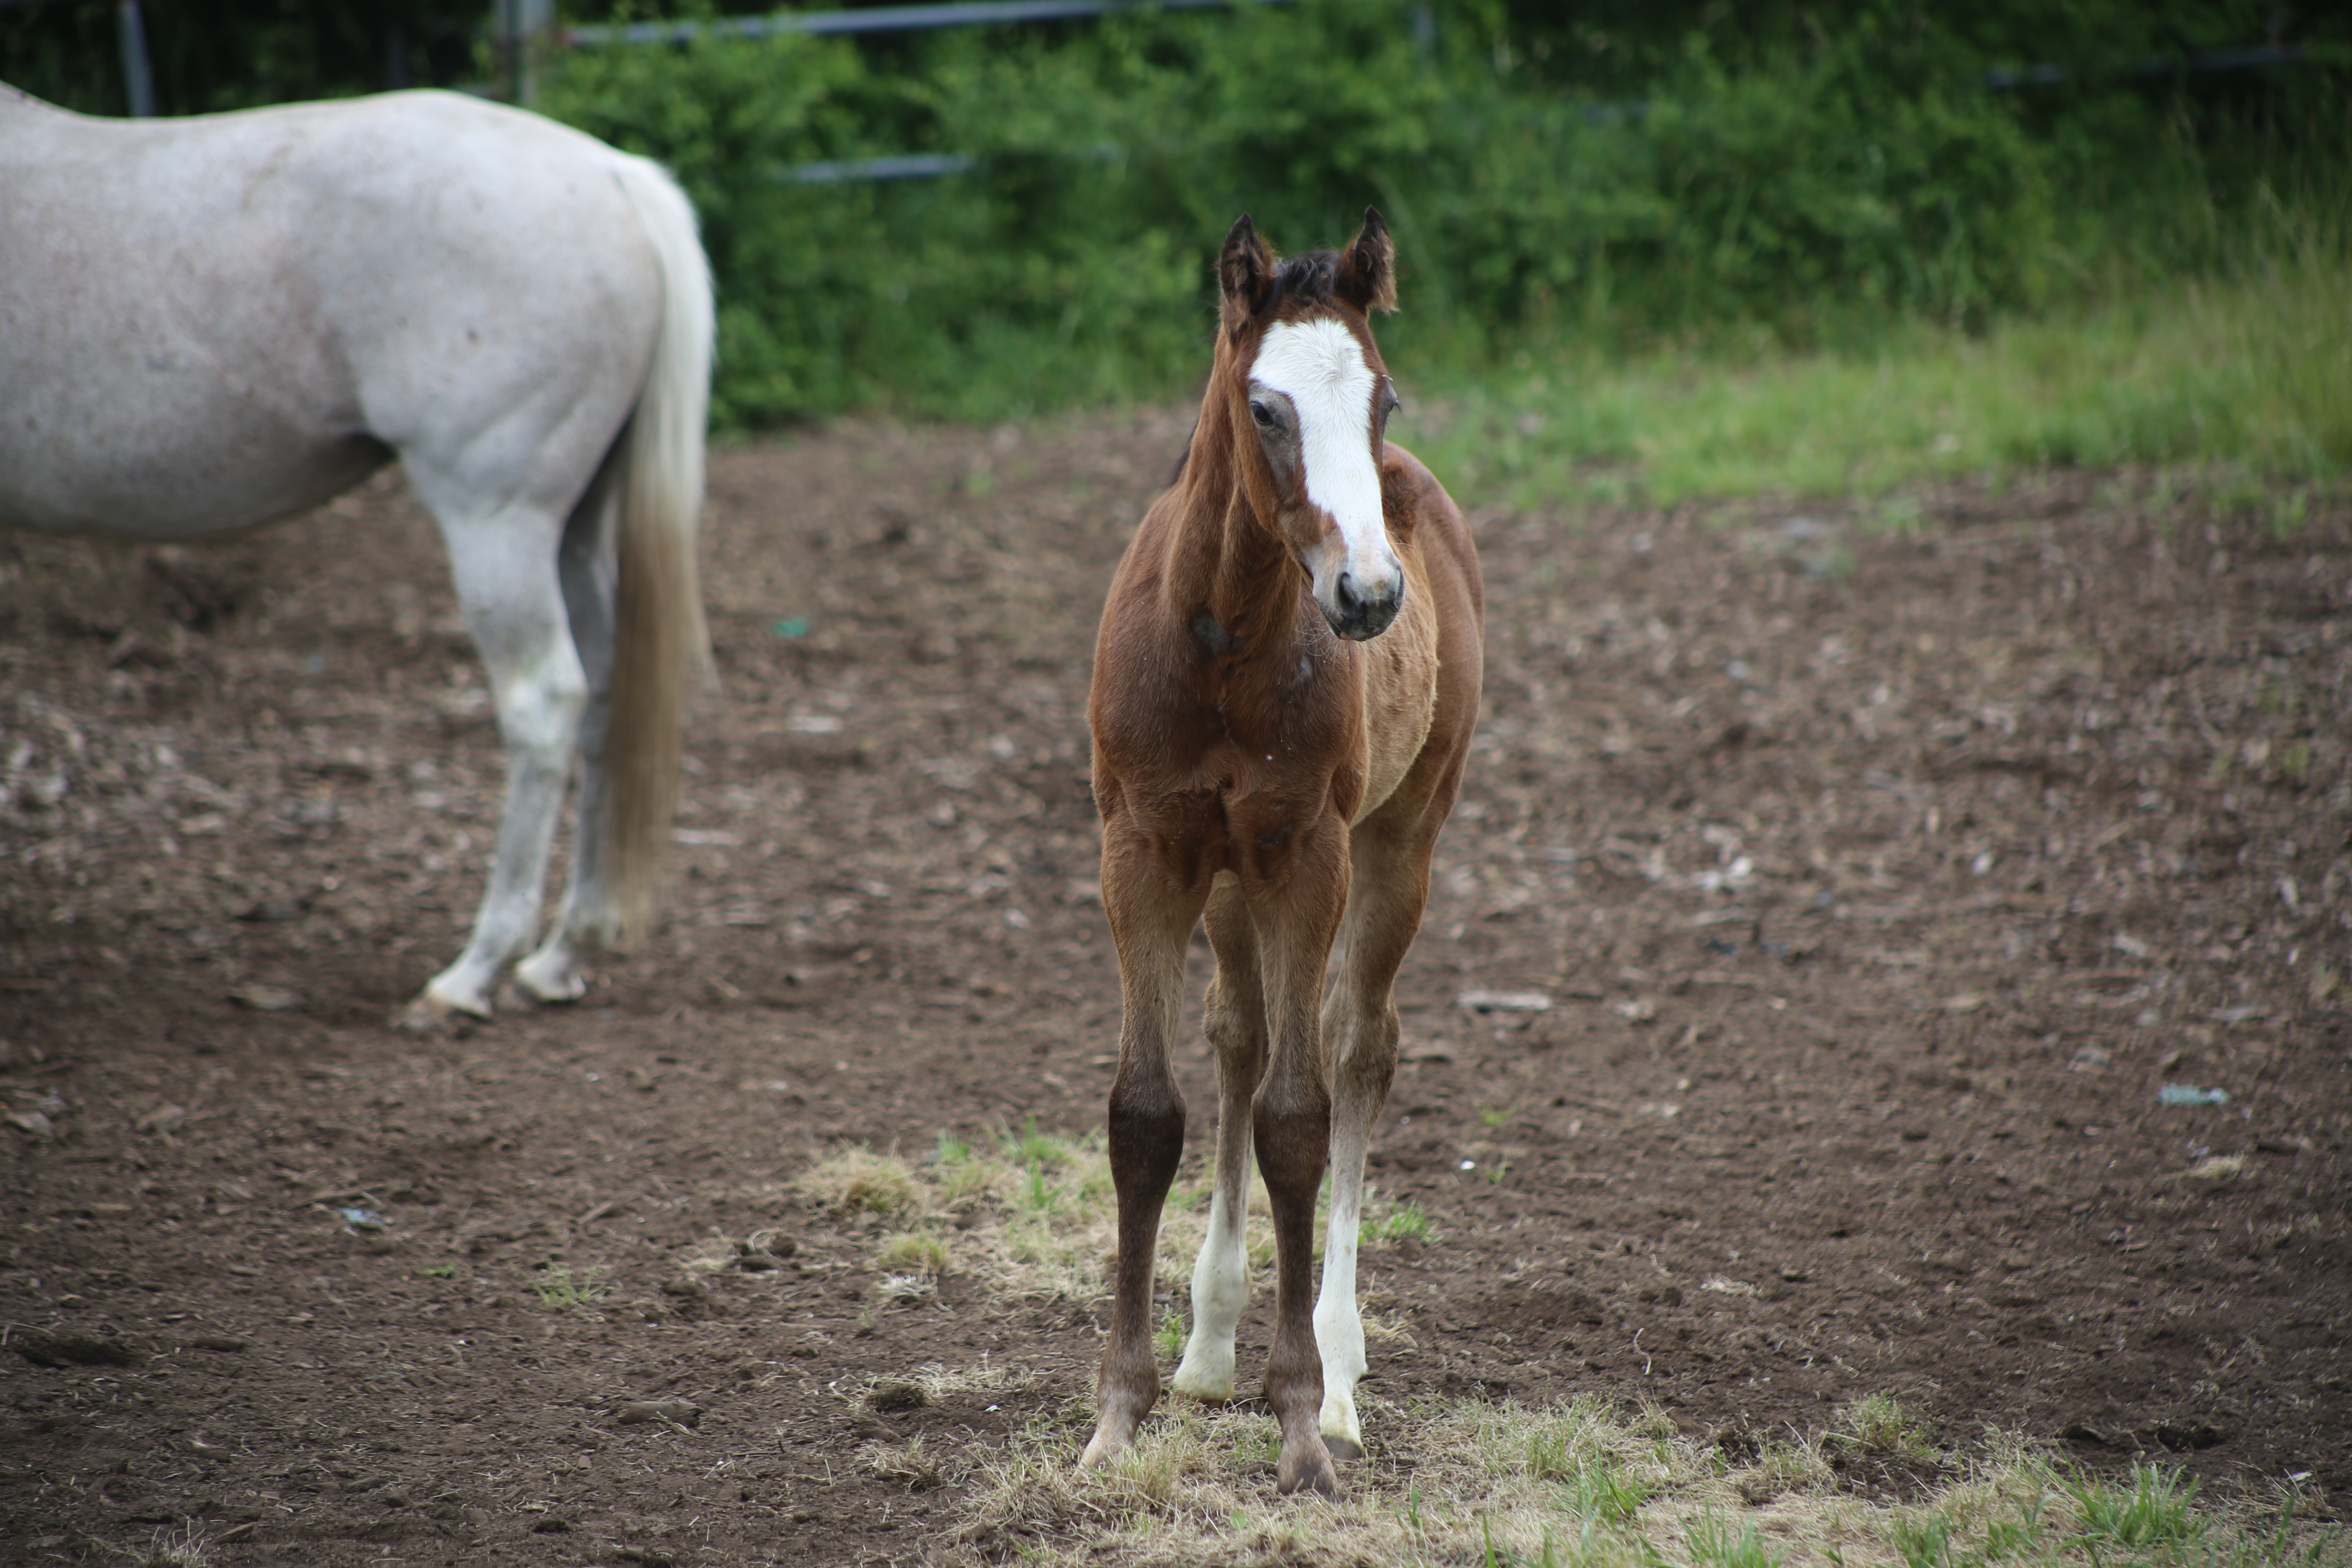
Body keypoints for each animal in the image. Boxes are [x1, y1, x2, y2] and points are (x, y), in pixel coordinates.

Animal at [2, 92, 715, 1034]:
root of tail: (609, 172)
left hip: (498, 521)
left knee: (544, 702)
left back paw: (474, 971)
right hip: (576, 525)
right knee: (604, 692)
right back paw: (562, 956)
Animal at [1077, 208, 1477, 1495]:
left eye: (1383, 398)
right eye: (1265, 407)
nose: (1367, 593)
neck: (1219, 638)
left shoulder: (1308, 856)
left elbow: (1299, 1120)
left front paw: (1301, 1422)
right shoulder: (1143, 851)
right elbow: (1148, 1115)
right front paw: (1118, 1416)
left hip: (1399, 839)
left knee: (1358, 1050)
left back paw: (1341, 1370)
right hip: (1227, 879)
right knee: (1239, 1040)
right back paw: (1208, 1346)